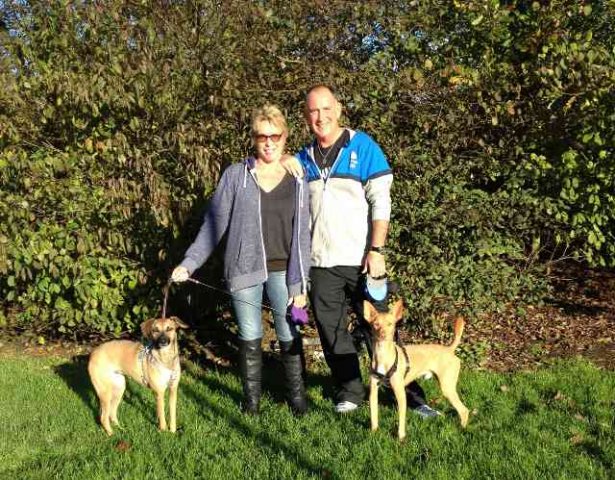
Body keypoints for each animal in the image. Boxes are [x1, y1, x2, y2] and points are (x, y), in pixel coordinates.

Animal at [364, 302, 470, 440]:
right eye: (376, 324)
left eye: (390, 324)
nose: (383, 334)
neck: (383, 356)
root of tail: (449, 349)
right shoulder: (373, 392)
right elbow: (374, 416)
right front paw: (374, 433)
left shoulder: (401, 394)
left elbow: (401, 420)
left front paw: (401, 438)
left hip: (447, 388)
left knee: (464, 410)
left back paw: (462, 430)